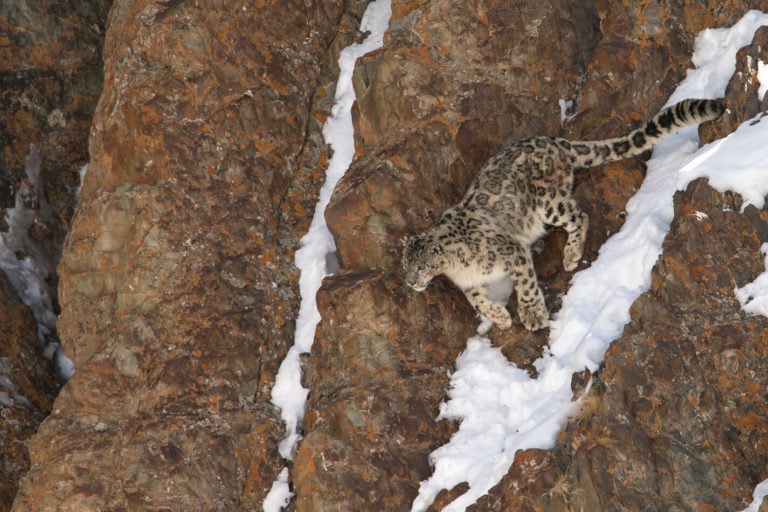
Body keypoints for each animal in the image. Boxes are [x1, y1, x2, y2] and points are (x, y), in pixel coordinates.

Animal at [402, 98, 725, 331]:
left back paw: (570, 255)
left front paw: (532, 315)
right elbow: (477, 301)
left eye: (421, 265)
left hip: (548, 202)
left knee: (579, 215)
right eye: (406, 264)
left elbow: (526, 284)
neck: (456, 267)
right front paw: (501, 316)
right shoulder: (470, 283)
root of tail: (556, 142)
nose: (409, 282)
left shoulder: (511, 251)